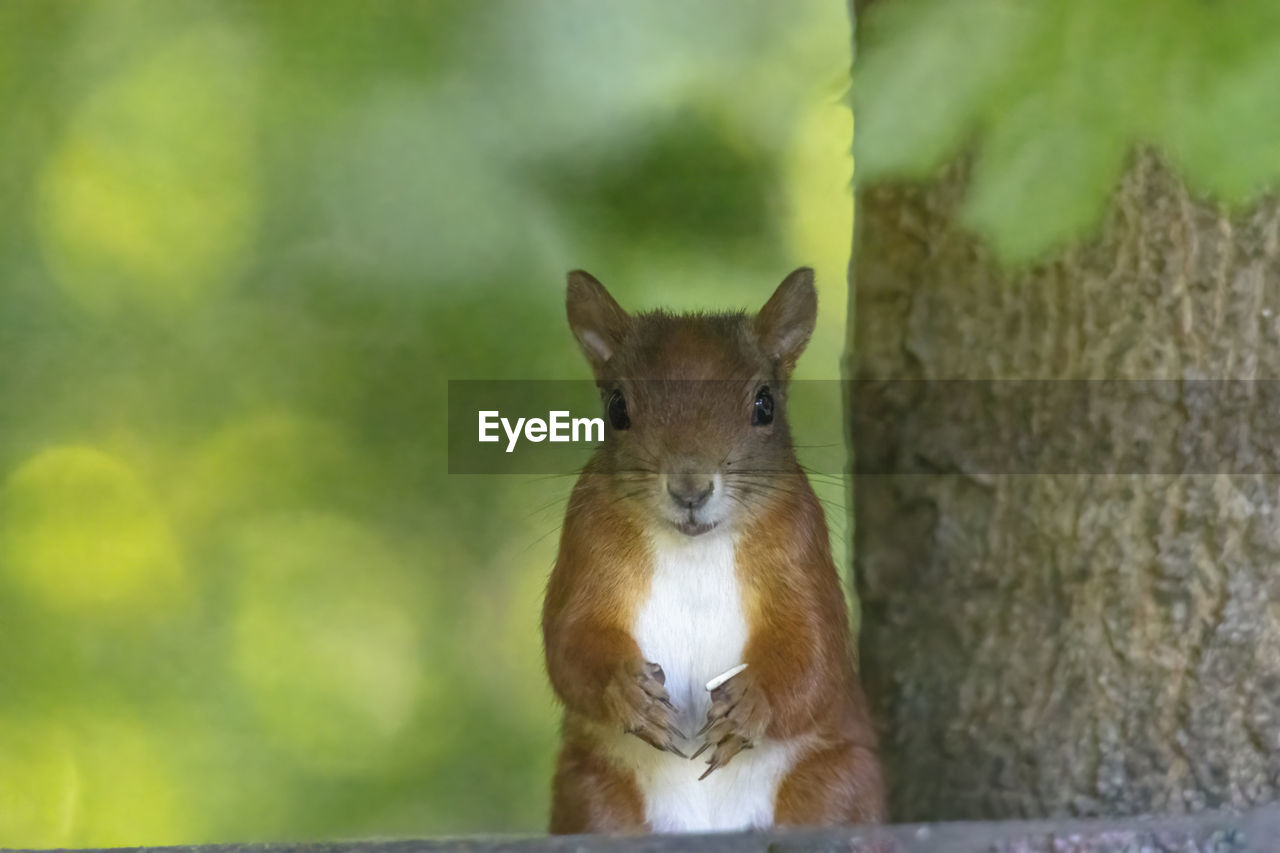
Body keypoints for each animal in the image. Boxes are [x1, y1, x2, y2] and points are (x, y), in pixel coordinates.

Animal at [535, 267, 885, 829]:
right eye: (616, 408)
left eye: (765, 404)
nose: (690, 489)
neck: (693, 548)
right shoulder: (586, 537)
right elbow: (569, 637)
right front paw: (627, 692)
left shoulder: (802, 542)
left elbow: (817, 652)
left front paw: (750, 706)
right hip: (592, 792)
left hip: (837, 783)